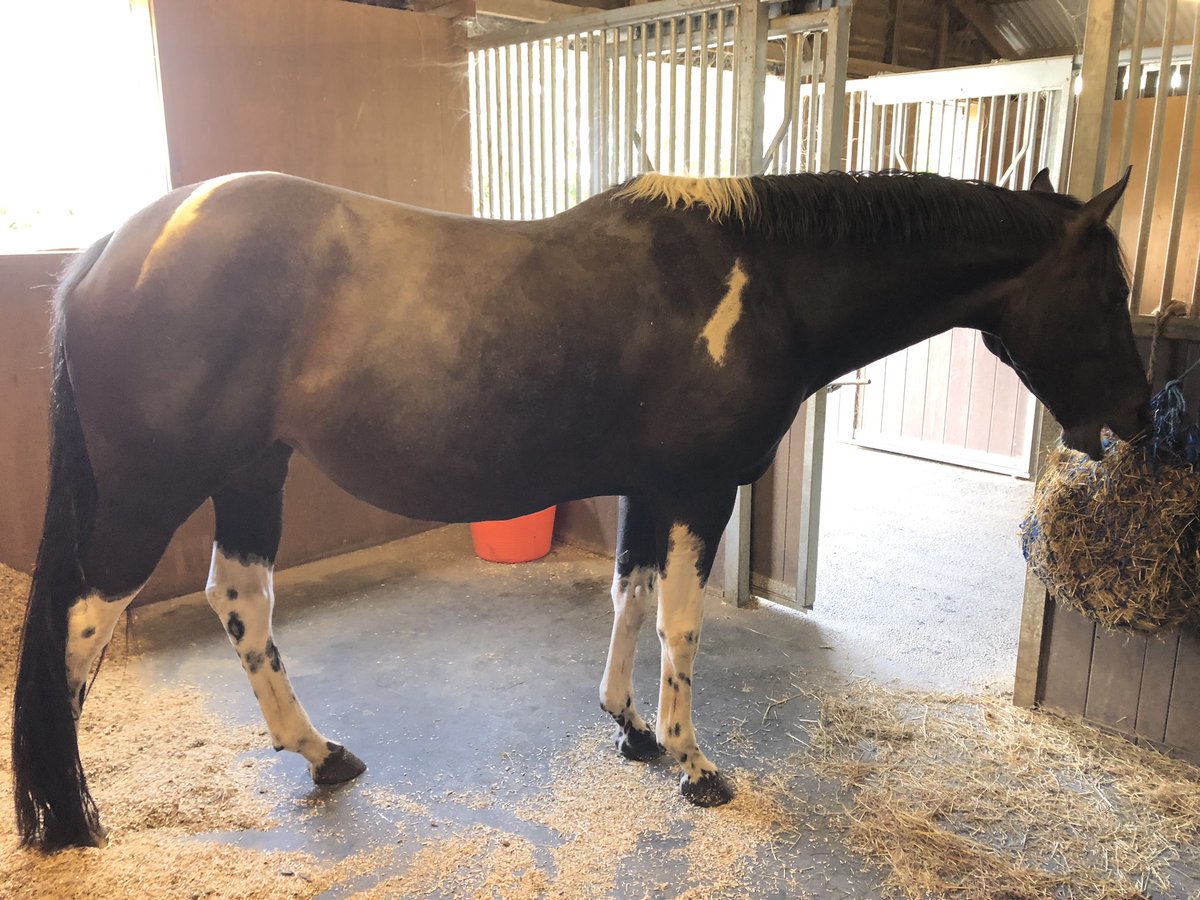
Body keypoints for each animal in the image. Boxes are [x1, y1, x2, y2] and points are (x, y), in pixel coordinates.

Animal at [12, 167, 1149, 851]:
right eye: (1108, 292)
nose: (1138, 417)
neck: (761, 285)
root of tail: (110, 249)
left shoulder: (649, 488)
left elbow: (629, 596)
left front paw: (632, 729)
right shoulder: (697, 489)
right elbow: (682, 622)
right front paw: (696, 766)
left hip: (253, 470)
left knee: (239, 601)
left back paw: (324, 756)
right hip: (156, 492)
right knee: (84, 625)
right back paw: (72, 818)